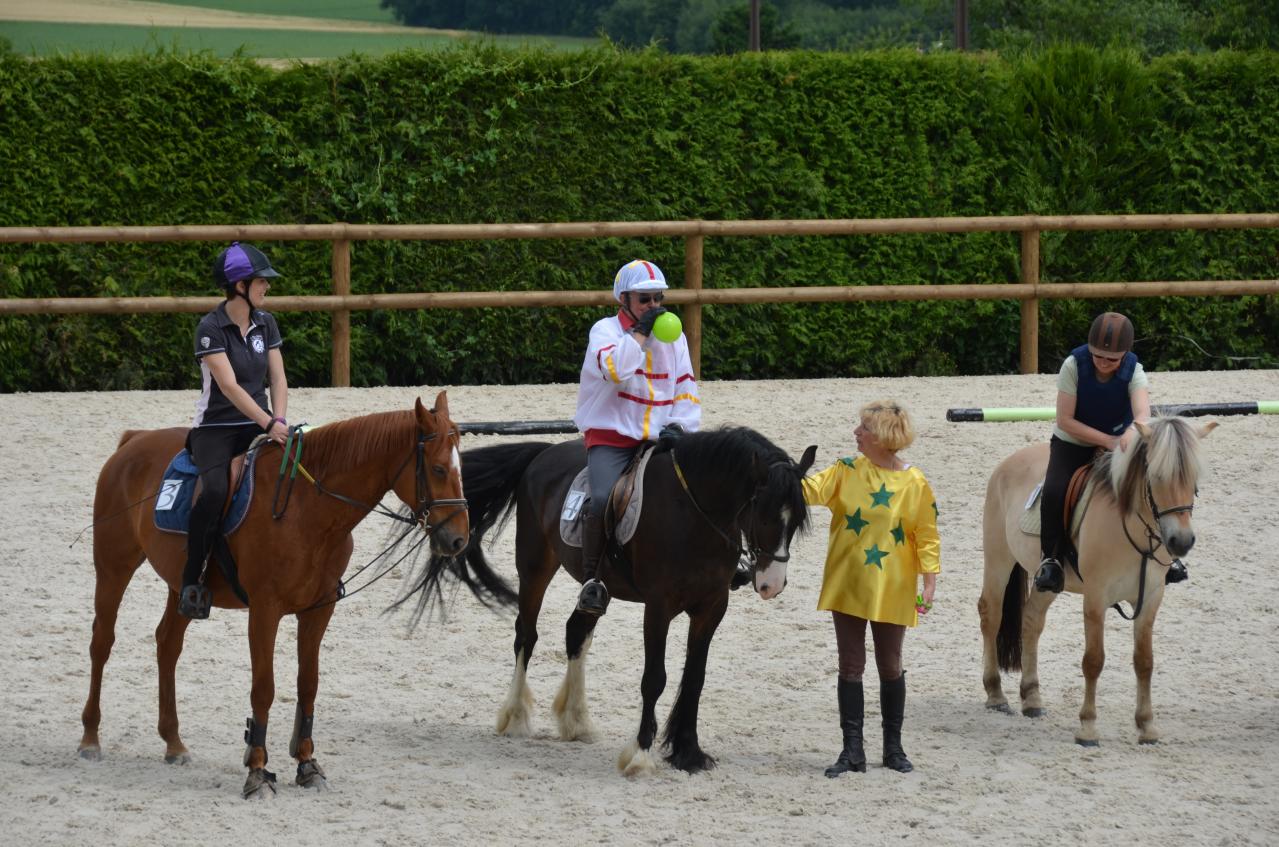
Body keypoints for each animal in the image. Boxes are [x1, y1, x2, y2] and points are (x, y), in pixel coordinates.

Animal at [81, 394, 503, 798]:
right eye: (438, 469)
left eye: (461, 468)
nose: (458, 539)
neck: (307, 507)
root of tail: (133, 441)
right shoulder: (264, 611)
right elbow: (264, 689)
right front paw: (257, 771)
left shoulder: (318, 610)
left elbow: (308, 684)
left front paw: (307, 765)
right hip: (114, 567)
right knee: (102, 642)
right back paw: (90, 738)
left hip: (180, 585)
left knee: (167, 644)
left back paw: (173, 743)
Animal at [404, 427, 813, 777]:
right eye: (762, 509)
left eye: (795, 519)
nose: (772, 584)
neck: (694, 512)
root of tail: (544, 453)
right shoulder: (659, 607)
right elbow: (655, 679)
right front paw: (642, 754)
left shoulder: (711, 607)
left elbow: (695, 678)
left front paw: (689, 753)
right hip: (535, 566)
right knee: (526, 636)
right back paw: (516, 716)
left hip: (599, 589)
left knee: (575, 631)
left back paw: (576, 721)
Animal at [982, 422, 1212, 747]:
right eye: (1156, 475)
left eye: (1193, 477)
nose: (1181, 541)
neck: (1132, 532)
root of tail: (1007, 463)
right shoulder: (1095, 598)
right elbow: (1093, 660)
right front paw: (1088, 728)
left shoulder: (1150, 599)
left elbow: (1145, 661)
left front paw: (1147, 726)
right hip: (998, 560)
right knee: (991, 615)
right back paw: (996, 694)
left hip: (1047, 582)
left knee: (1031, 620)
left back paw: (1032, 698)